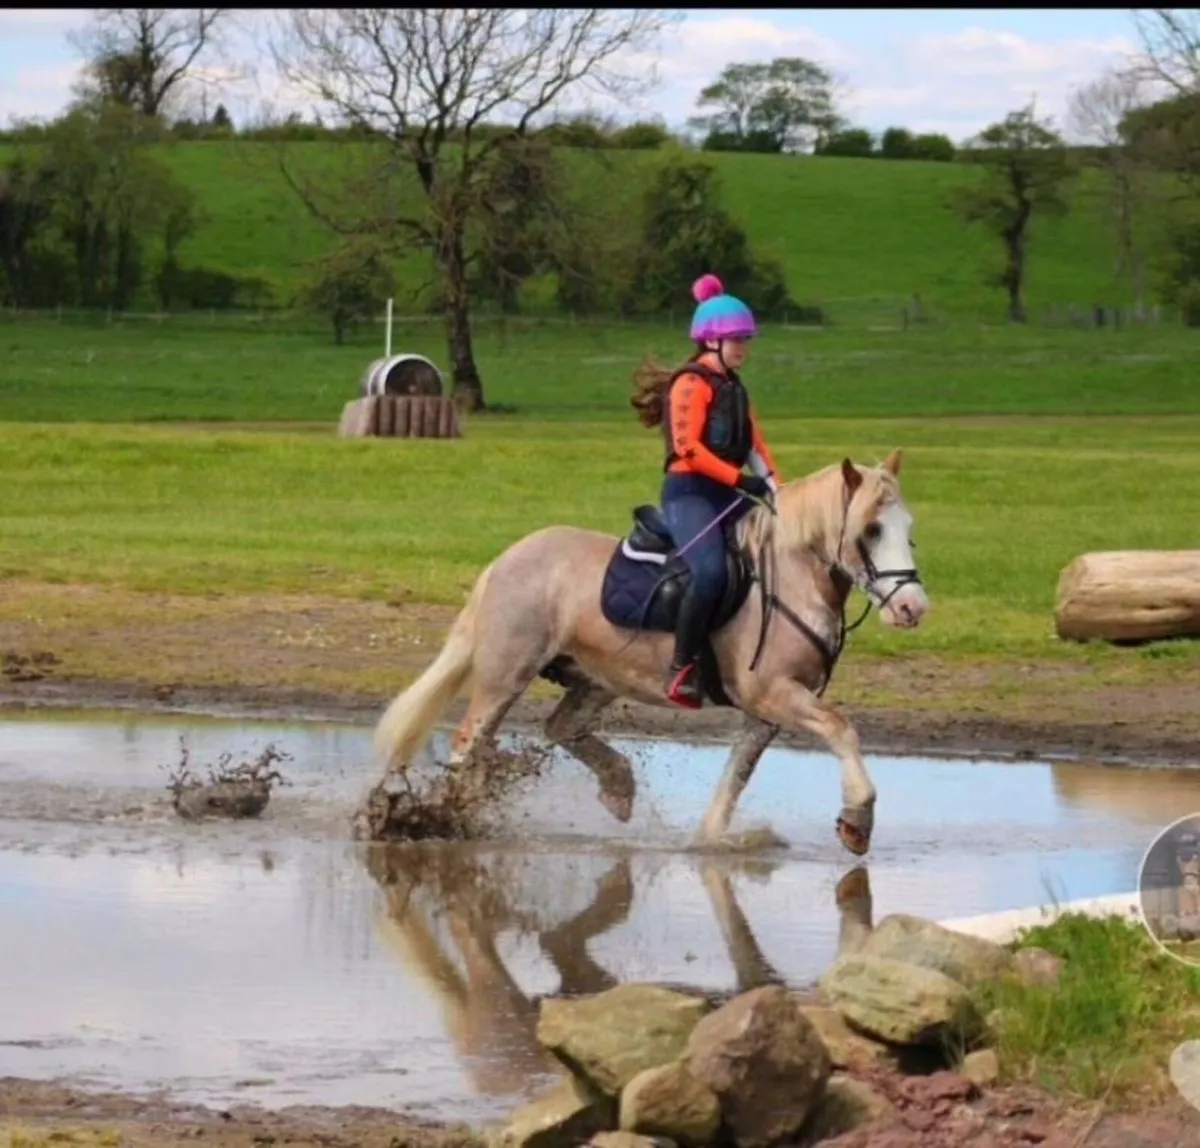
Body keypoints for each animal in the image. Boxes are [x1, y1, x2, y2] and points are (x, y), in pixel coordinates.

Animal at [371, 449, 930, 855]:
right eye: (871, 530)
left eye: (909, 530)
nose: (913, 607)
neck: (790, 580)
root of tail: (508, 558)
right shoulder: (773, 694)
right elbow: (841, 729)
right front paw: (858, 818)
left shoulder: (766, 714)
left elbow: (735, 780)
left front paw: (709, 841)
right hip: (506, 674)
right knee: (470, 742)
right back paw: (449, 817)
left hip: (595, 679)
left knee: (562, 727)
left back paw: (618, 788)